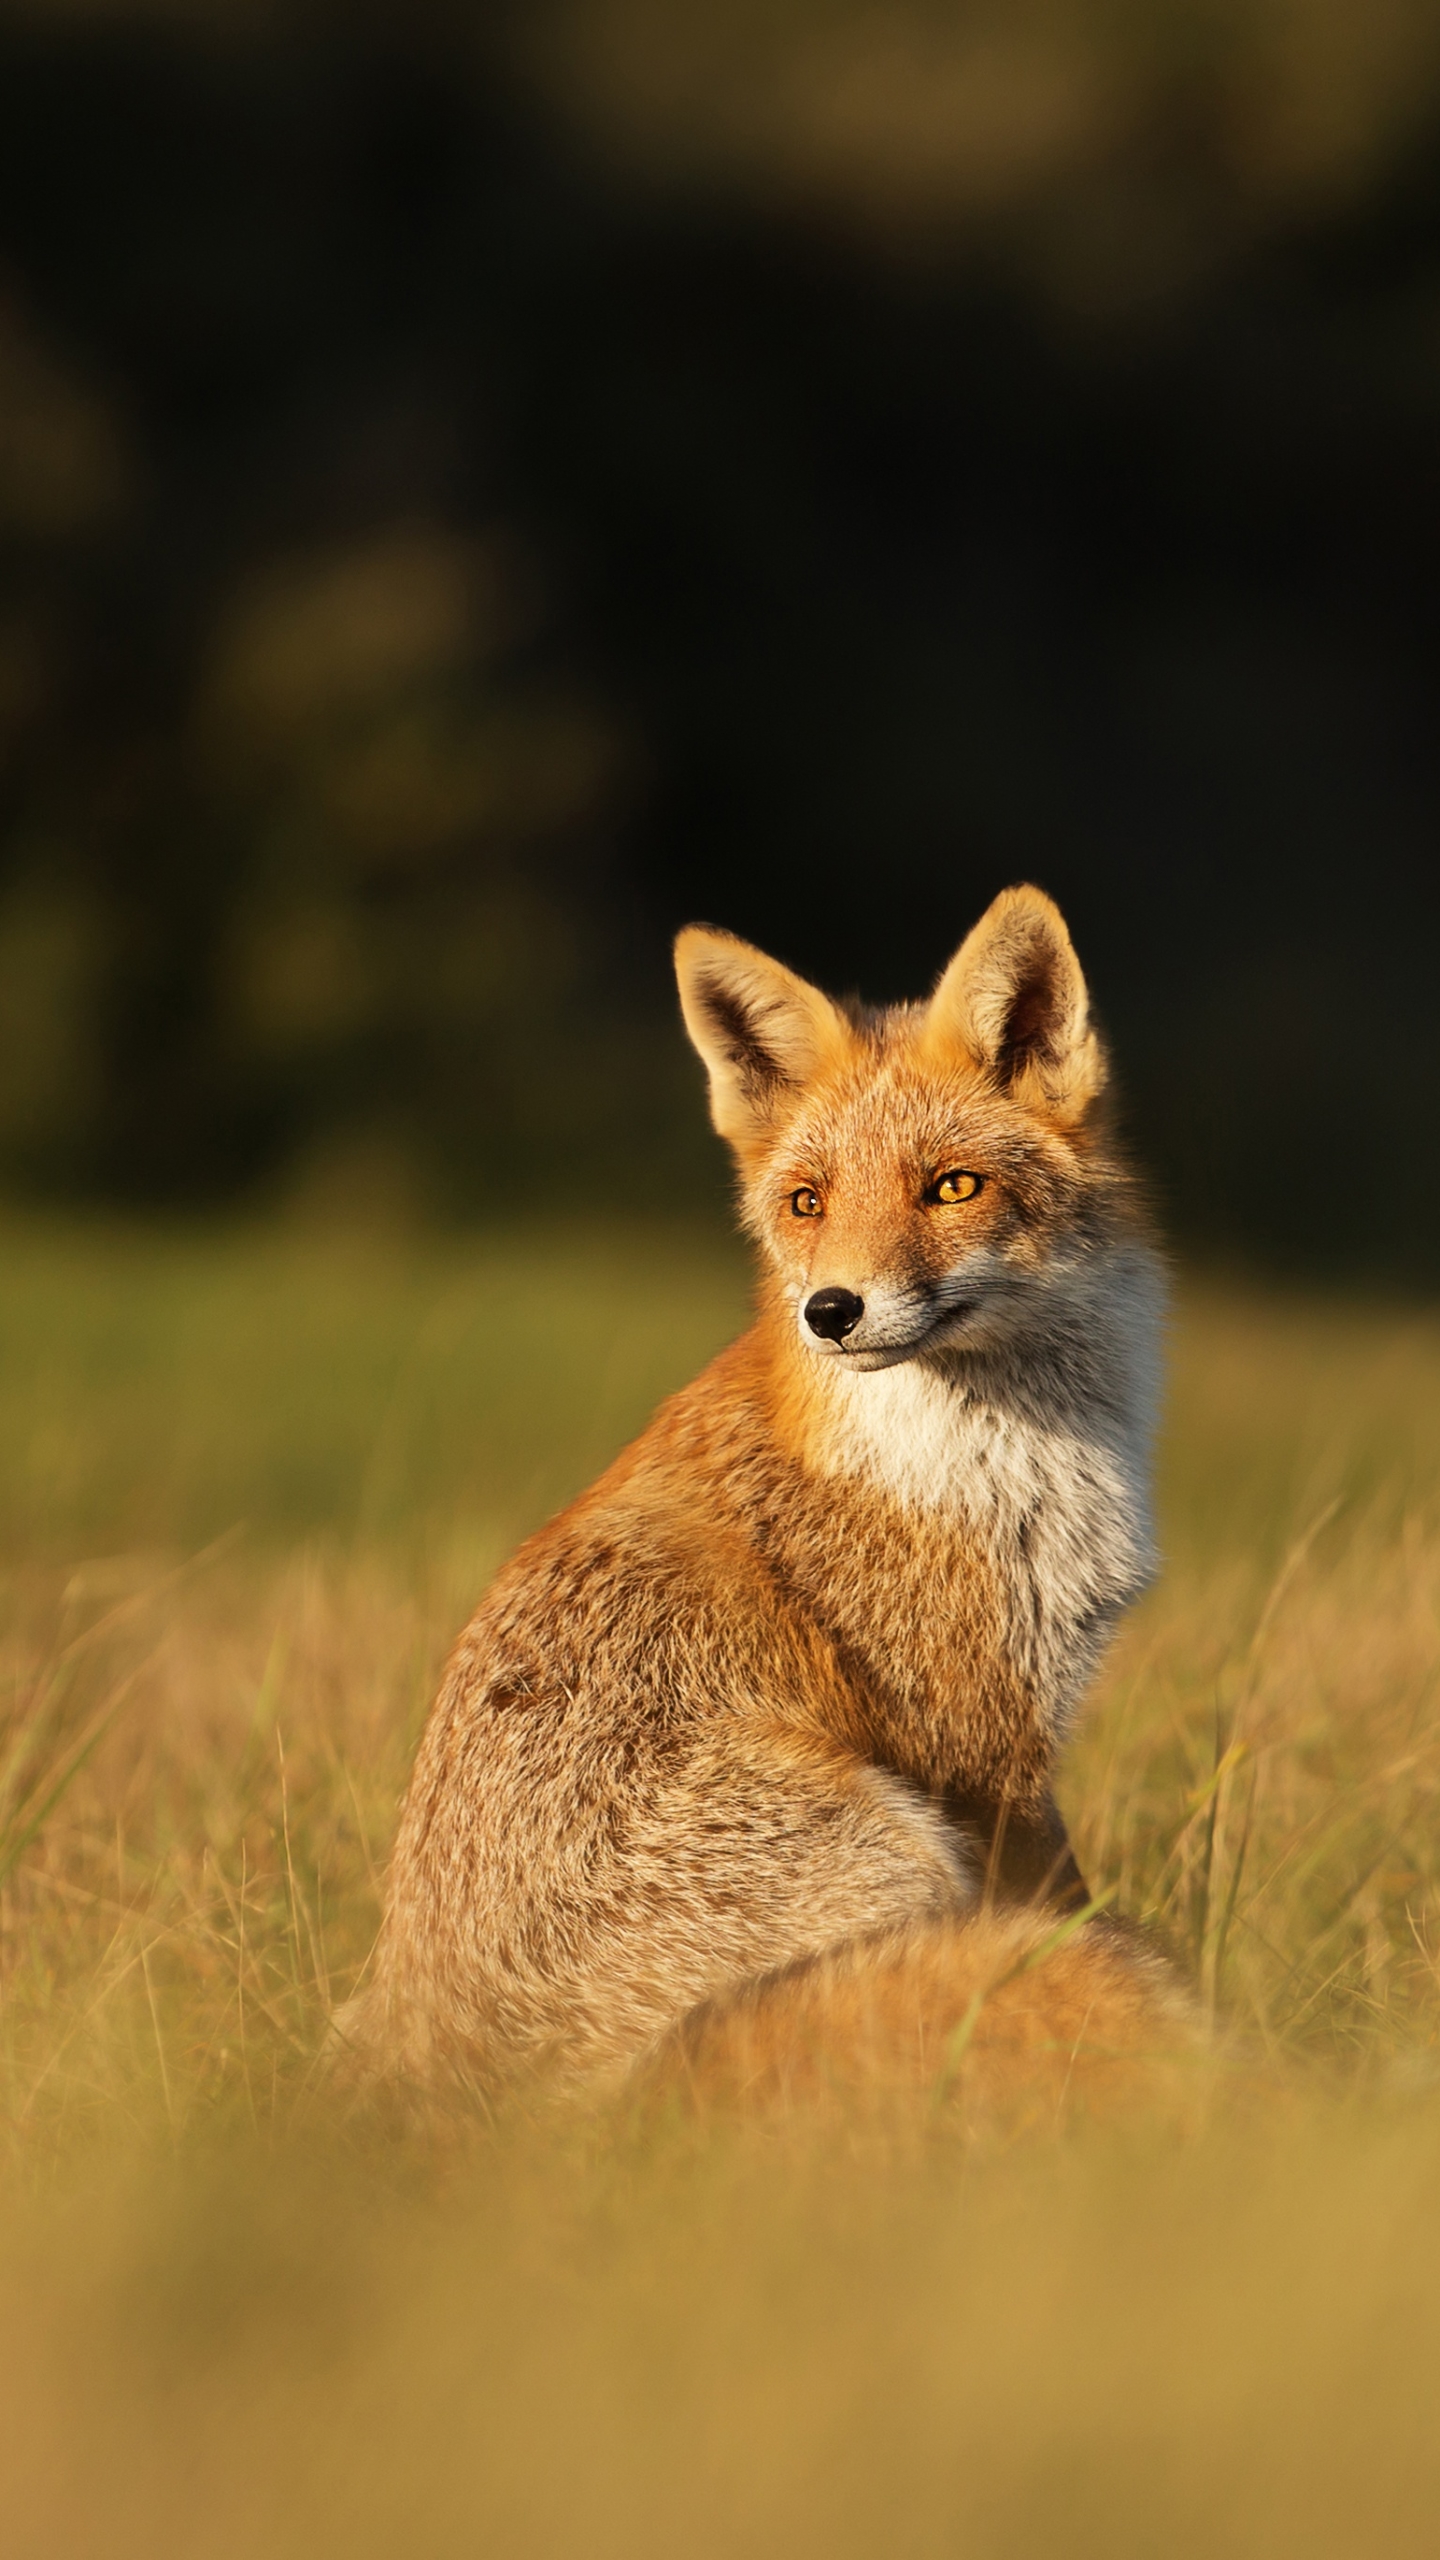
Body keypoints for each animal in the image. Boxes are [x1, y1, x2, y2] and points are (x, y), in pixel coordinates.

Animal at [348, 890, 1188, 2129]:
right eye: (808, 1203)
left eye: (953, 1186)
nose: (830, 1311)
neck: (997, 1461)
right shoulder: (981, 1751)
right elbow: (1076, 1911)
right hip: (898, 1848)